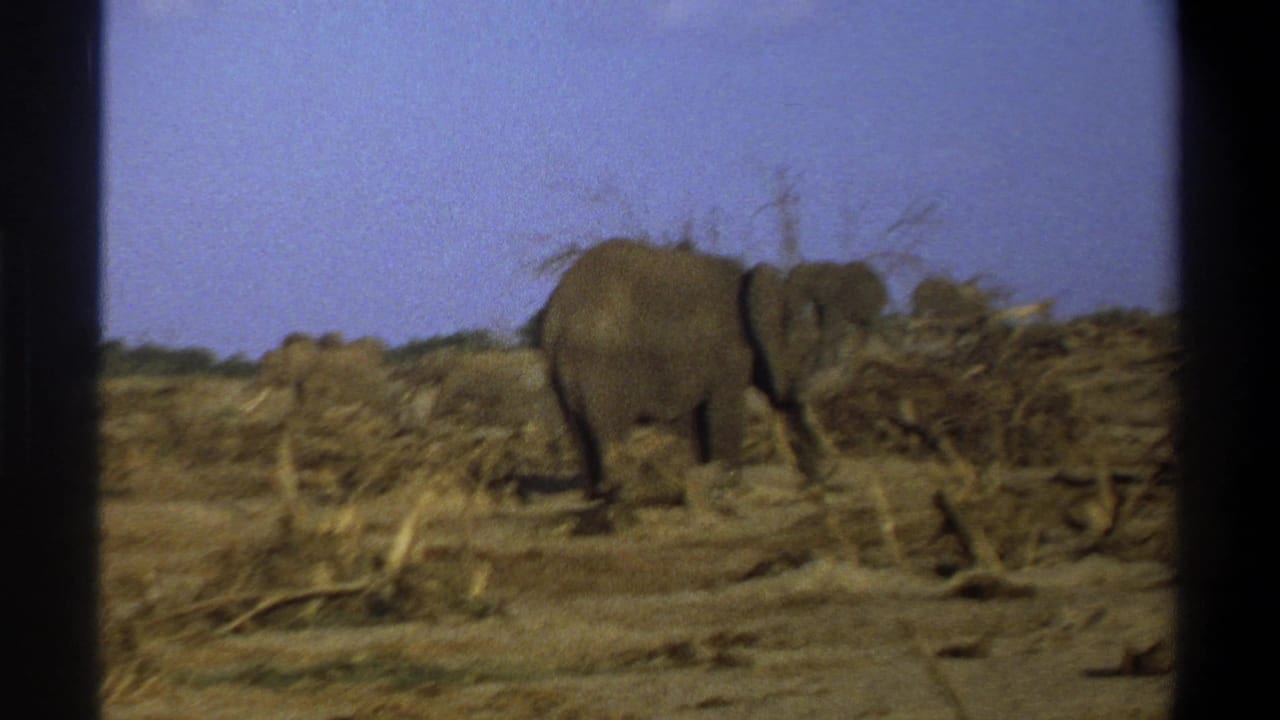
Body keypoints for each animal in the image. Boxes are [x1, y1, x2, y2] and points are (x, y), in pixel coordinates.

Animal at [539, 238, 887, 502]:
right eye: (803, 343)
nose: (825, 474)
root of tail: (557, 318)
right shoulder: (729, 353)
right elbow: (723, 412)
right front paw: (730, 480)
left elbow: (695, 421)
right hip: (601, 368)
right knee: (609, 430)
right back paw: (626, 492)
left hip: (561, 375)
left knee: (579, 431)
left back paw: (598, 495)